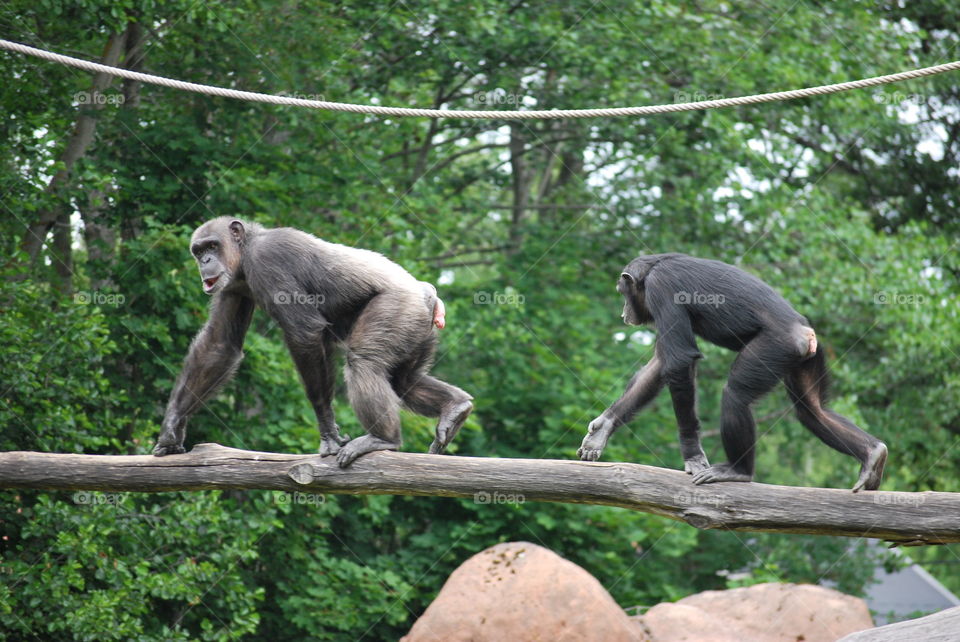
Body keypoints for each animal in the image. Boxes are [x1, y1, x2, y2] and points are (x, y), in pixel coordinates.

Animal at [151, 216, 476, 464]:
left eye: (212, 245)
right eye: (198, 250)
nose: (205, 260)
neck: (245, 253)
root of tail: (430, 296)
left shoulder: (268, 259)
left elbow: (304, 331)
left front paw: (329, 433)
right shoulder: (232, 288)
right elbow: (219, 345)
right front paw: (171, 429)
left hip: (398, 309)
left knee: (364, 362)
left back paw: (383, 438)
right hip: (418, 331)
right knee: (403, 380)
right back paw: (455, 408)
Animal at [576, 251, 884, 490]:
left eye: (623, 293)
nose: (623, 312)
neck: (653, 269)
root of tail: (806, 335)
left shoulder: (661, 289)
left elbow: (679, 360)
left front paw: (692, 454)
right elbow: (661, 363)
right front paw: (602, 428)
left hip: (776, 347)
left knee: (736, 394)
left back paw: (738, 472)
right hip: (805, 359)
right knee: (812, 409)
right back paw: (872, 455)